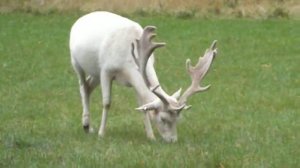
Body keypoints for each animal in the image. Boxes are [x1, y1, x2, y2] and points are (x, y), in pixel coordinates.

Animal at [69, 11, 217, 142]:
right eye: (163, 119)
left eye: (178, 119)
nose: (173, 140)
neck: (127, 62)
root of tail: (80, 19)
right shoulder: (106, 70)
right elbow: (106, 103)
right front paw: (101, 134)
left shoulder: (133, 79)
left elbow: (143, 107)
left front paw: (151, 137)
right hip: (76, 63)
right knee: (82, 86)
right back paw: (86, 125)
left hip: (94, 72)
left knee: (88, 86)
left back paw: (89, 127)